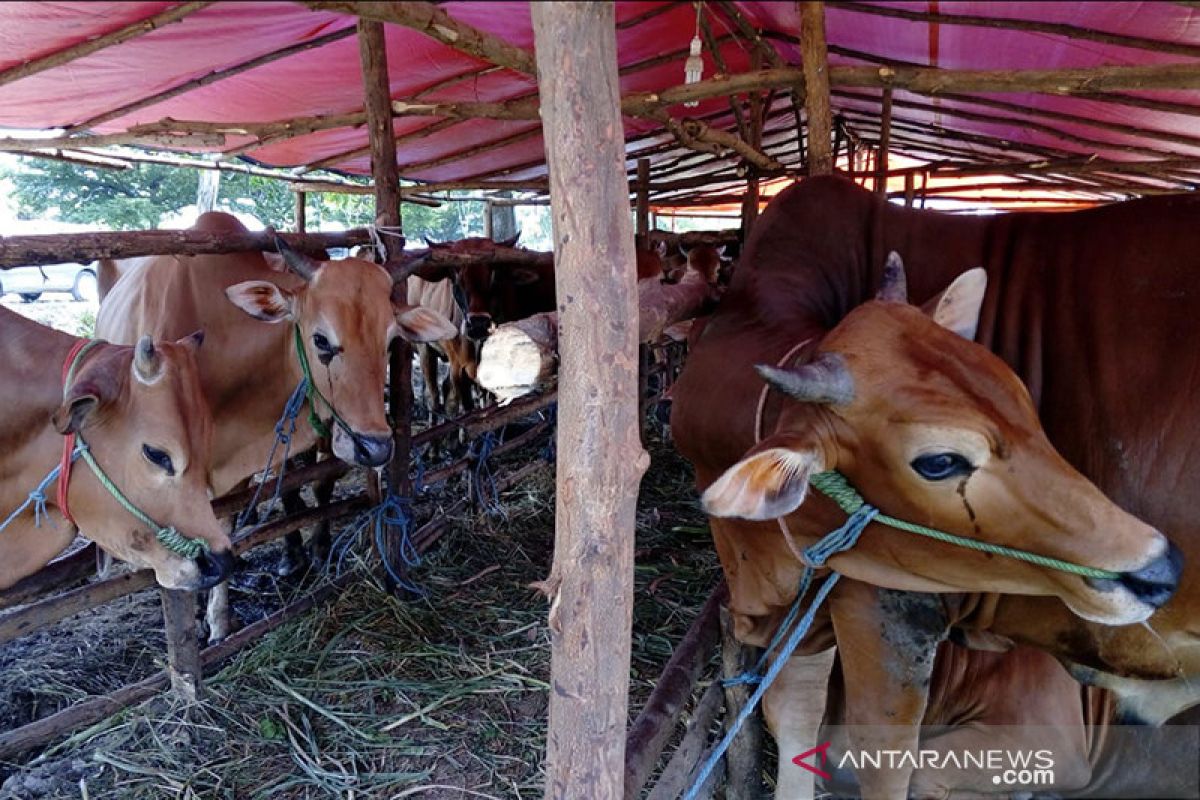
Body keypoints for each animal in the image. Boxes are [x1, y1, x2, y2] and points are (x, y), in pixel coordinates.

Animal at [672, 176, 1195, 800]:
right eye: (941, 461)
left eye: (1025, 401)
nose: (1160, 568)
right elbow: (793, 715)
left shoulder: (885, 603)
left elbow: (886, 759)